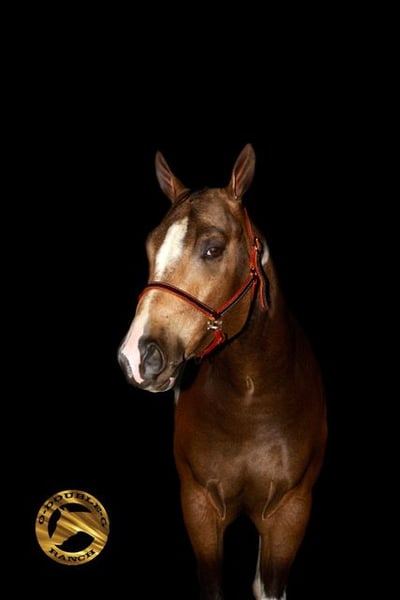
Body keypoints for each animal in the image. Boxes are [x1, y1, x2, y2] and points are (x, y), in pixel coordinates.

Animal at [117, 144, 328, 599]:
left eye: (213, 249)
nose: (137, 356)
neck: (251, 402)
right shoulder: (199, 507)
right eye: (150, 247)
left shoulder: (289, 513)